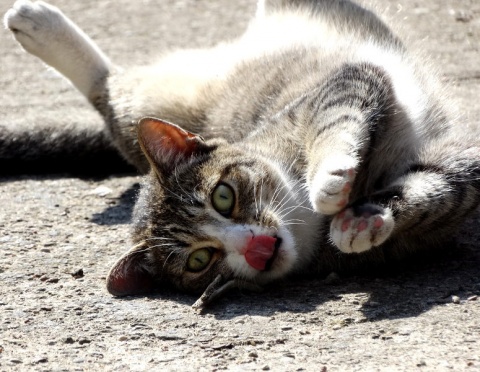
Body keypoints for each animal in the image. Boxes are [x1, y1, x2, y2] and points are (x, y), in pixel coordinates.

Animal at [4, 0, 480, 308]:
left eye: (223, 196)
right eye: (200, 261)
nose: (256, 248)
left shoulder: (348, 82)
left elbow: (344, 123)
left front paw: (332, 184)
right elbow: (438, 193)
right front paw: (361, 223)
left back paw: (34, 19)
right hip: (151, 103)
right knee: (106, 90)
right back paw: (34, 26)